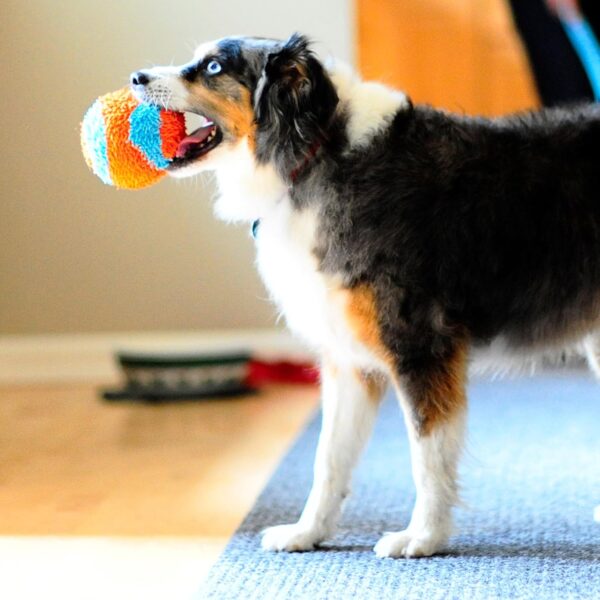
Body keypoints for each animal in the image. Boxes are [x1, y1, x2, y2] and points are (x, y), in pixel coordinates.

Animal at [131, 32, 600, 556]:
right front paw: (307, 532)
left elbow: (427, 457)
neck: (314, 157)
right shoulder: (347, 361)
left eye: (213, 67)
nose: (136, 78)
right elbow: (329, 459)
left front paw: (424, 537)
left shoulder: (420, 346)